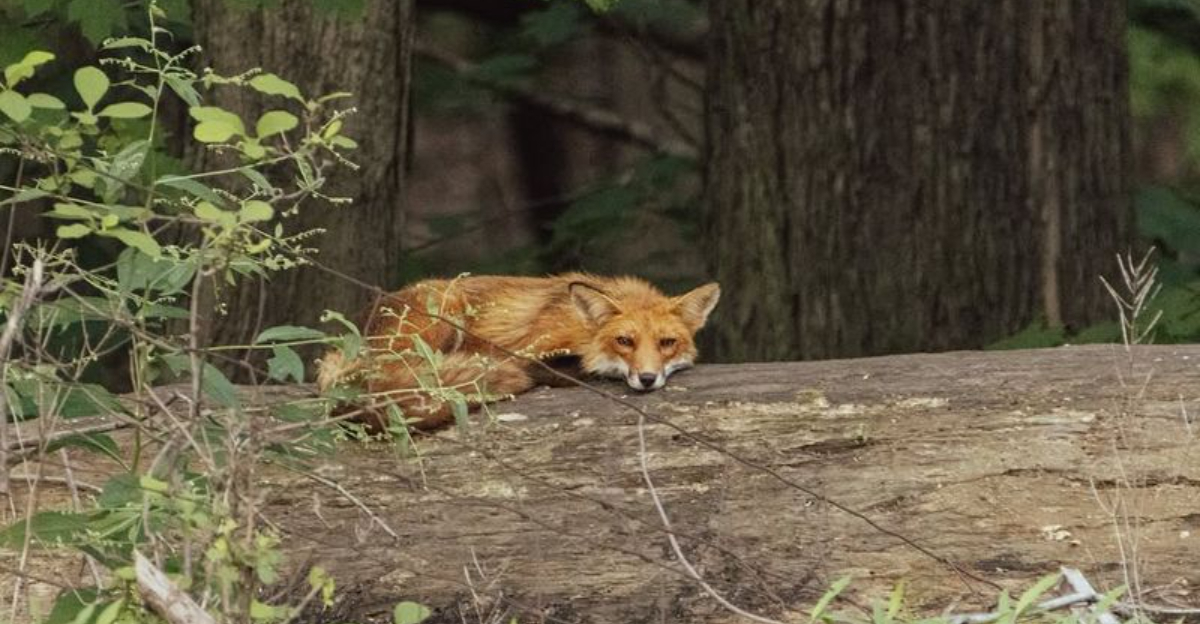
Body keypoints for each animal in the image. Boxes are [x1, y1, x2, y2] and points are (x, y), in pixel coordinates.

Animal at [316, 273, 720, 431]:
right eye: (625, 341)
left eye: (667, 343)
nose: (648, 379)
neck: (580, 327)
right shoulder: (532, 351)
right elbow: (579, 367)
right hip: (445, 312)